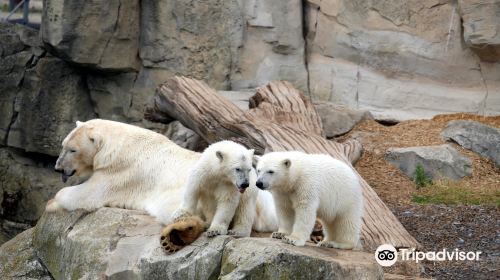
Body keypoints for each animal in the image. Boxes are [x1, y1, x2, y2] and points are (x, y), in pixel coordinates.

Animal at [46, 120, 278, 243]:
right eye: (63, 144)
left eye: (72, 149)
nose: (58, 167)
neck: (120, 145)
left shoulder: (121, 171)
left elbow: (90, 194)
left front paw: (51, 203)